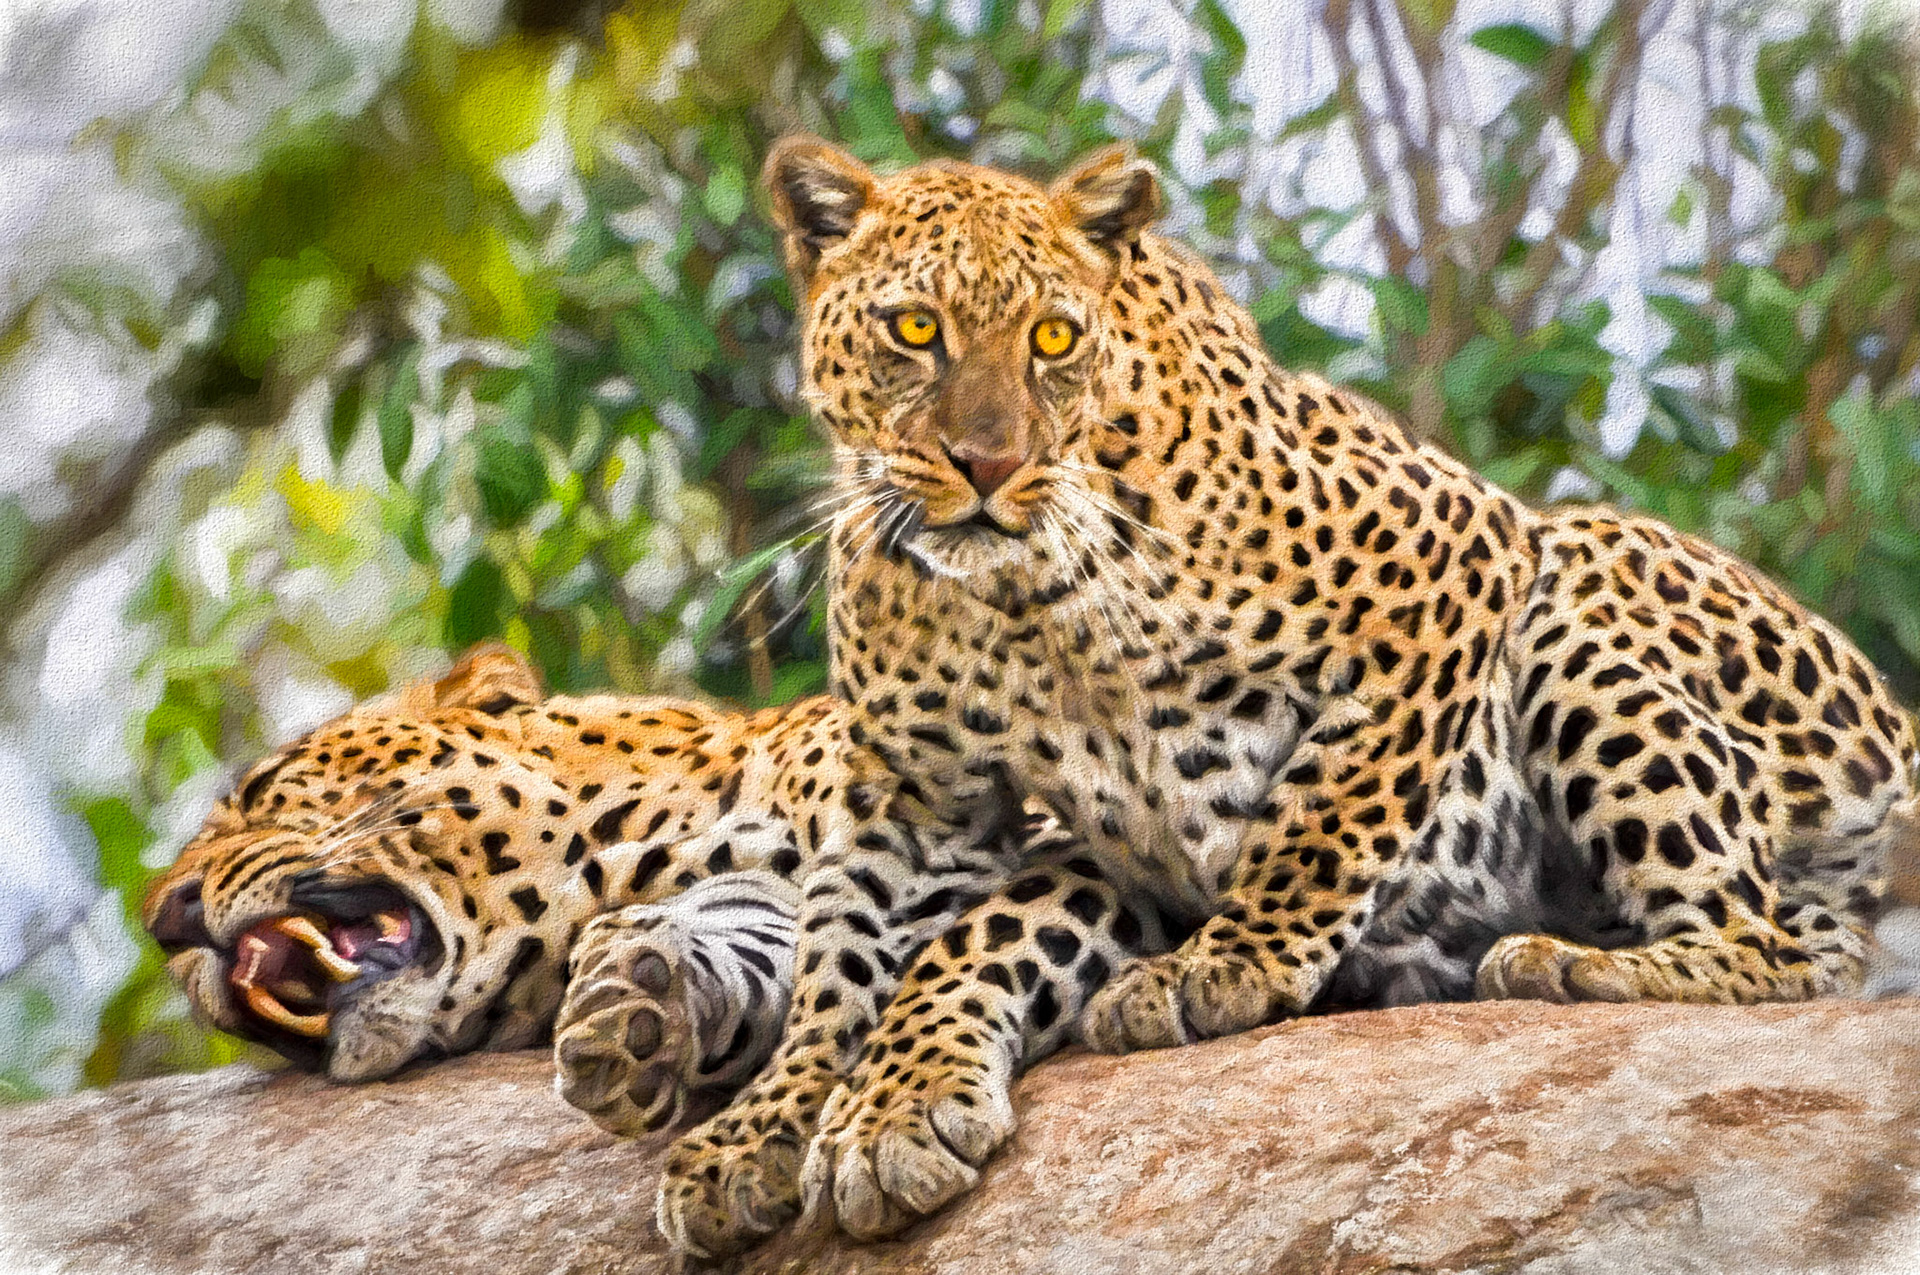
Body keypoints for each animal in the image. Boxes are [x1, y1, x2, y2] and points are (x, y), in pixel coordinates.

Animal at [617, 137, 1920, 1259]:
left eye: (1053, 338)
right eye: (916, 329)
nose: (989, 465)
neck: (1018, 604)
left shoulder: (1449, 558)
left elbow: (1328, 812)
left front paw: (1223, 965)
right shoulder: (920, 801)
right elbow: (852, 958)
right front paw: (773, 1123)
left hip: (1572, 590)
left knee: (1781, 947)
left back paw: (1568, 965)